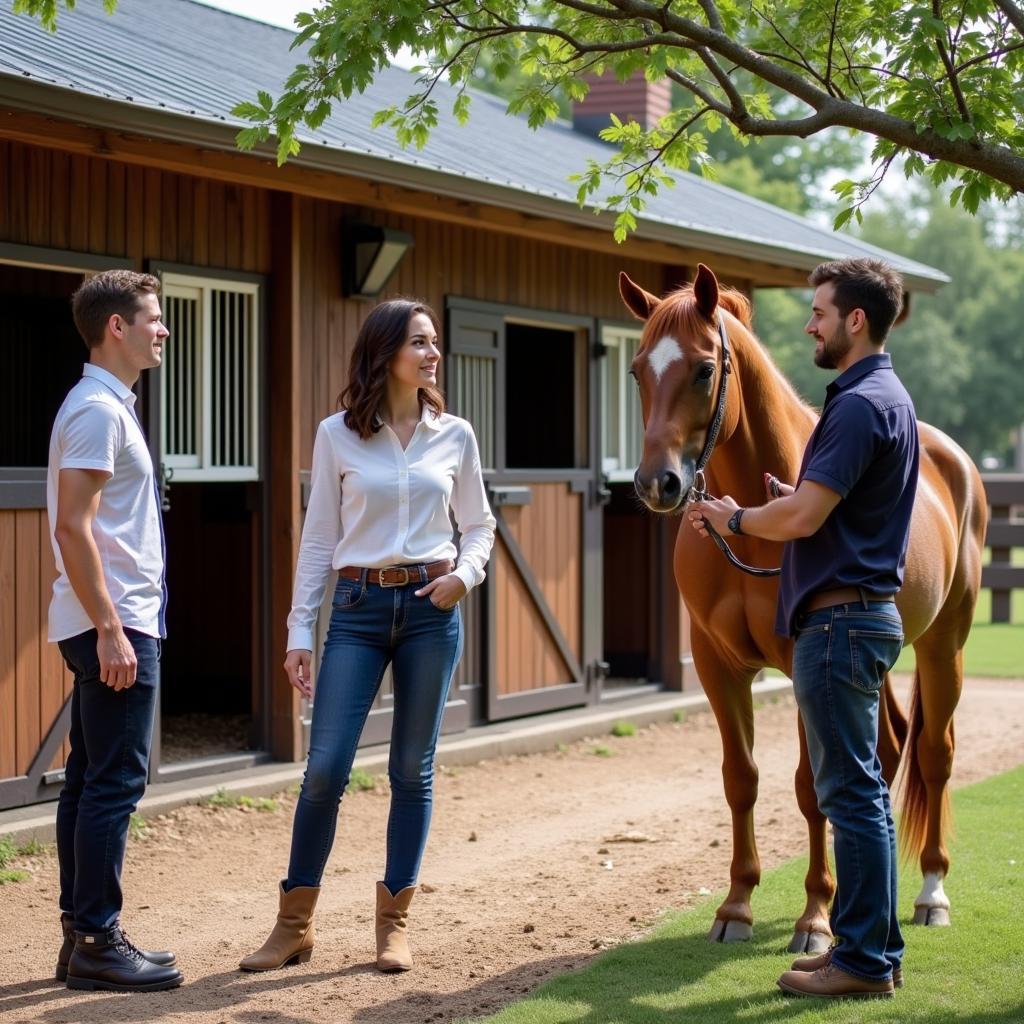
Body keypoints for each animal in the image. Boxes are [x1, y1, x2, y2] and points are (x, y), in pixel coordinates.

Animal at [618, 264, 987, 950]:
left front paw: (815, 915)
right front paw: (737, 906)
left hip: (942, 645)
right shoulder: (717, 666)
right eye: (636, 371)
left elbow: (810, 789)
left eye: (704, 370)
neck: (752, 524)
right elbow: (741, 779)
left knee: (934, 754)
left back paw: (929, 893)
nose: (659, 485)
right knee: (886, 753)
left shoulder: (801, 663)